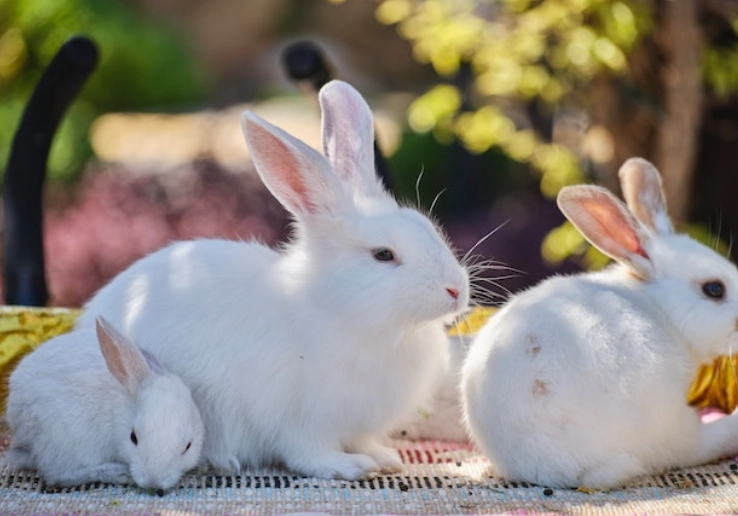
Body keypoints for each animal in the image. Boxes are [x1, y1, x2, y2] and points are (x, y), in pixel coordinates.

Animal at [4, 317, 204, 491]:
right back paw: (117, 473)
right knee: (57, 475)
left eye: (188, 446)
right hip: (66, 440)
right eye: (133, 437)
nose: (153, 483)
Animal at [76, 80, 470, 480]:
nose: (456, 289)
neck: (342, 312)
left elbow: (361, 440)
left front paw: (384, 457)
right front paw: (350, 466)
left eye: (428, 227)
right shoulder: (300, 418)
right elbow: (309, 453)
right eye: (383, 255)